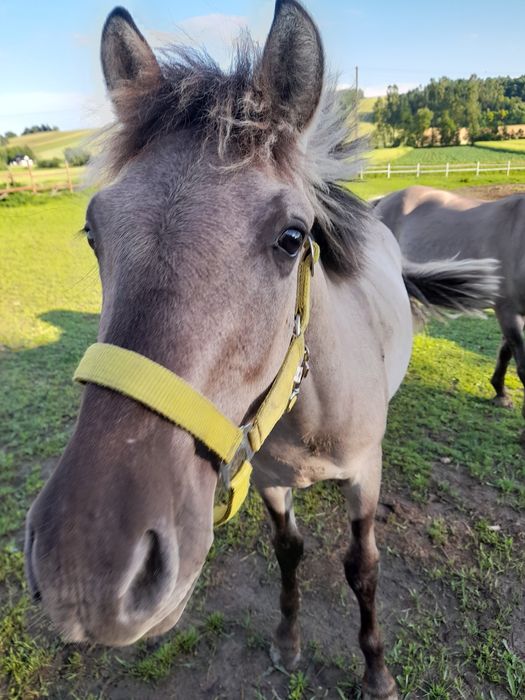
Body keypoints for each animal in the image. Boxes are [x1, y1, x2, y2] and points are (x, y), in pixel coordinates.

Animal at [24, 4, 498, 696]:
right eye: (92, 231)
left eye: (293, 237)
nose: (88, 571)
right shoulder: (271, 482)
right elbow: (289, 553)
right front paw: (288, 643)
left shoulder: (366, 475)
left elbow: (363, 567)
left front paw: (376, 670)